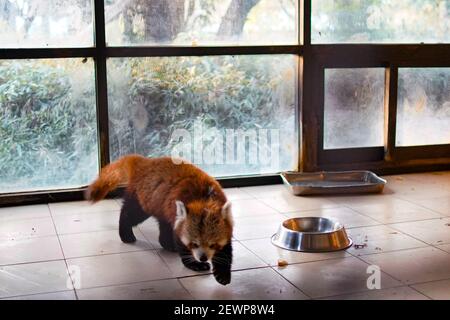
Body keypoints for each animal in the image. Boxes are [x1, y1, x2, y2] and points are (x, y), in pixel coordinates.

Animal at [85, 155, 234, 284]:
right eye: (193, 244)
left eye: (213, 245)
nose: (203, 258)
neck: (204, 199)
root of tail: (145, 162)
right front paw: (195, 264)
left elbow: (226, 248)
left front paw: (222, 274)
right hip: (144, 198)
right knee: (131, 214)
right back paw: (126, 234)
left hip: (161, 203)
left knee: (164, 224)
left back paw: (168, 245)